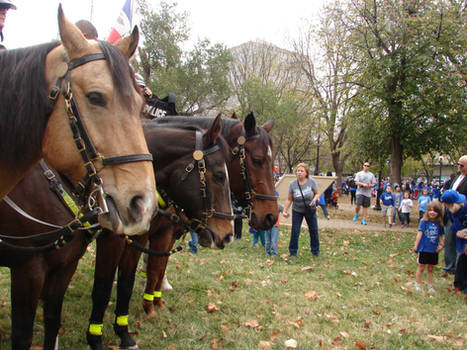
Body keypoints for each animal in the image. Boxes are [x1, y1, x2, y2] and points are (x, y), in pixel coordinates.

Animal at [85, 117, 234, 350]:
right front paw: (96, 338)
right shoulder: (114, 239)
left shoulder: (143, 238)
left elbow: (132, 280)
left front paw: (125, 331)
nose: (228, 235)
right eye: (219, 176)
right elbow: (103, 287)